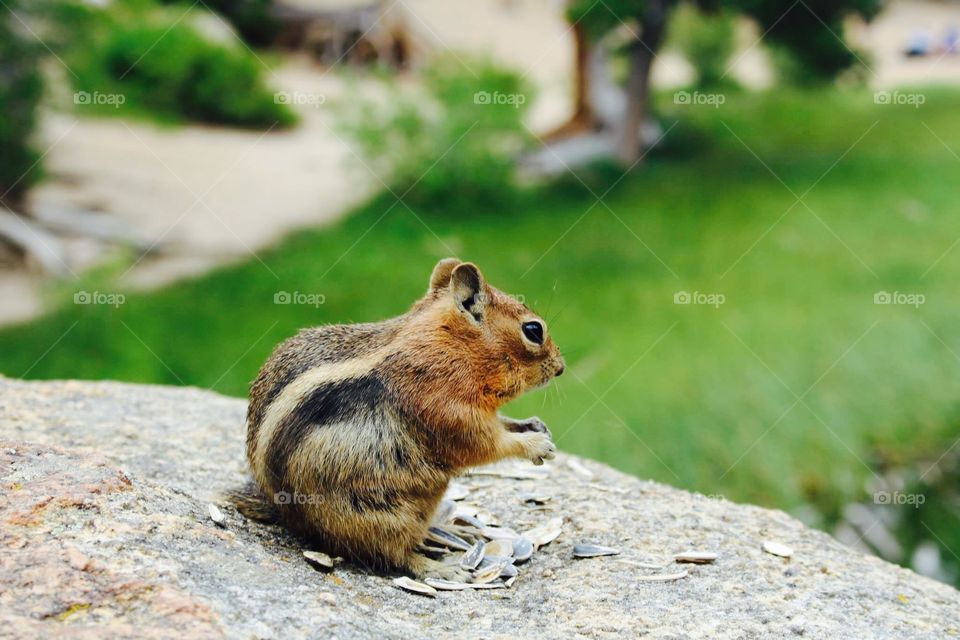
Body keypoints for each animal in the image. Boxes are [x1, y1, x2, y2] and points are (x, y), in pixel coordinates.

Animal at [229, 258, 565, 580]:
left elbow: (501, 425)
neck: (450, 346)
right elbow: (484, 444)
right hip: (376, 513)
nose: (560, 367)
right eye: (534, 330)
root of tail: (283, 514)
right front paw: (535, 444)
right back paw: (442, 568)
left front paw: (532, 425)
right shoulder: (446, 411)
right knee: (393, 555)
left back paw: (450, 529)